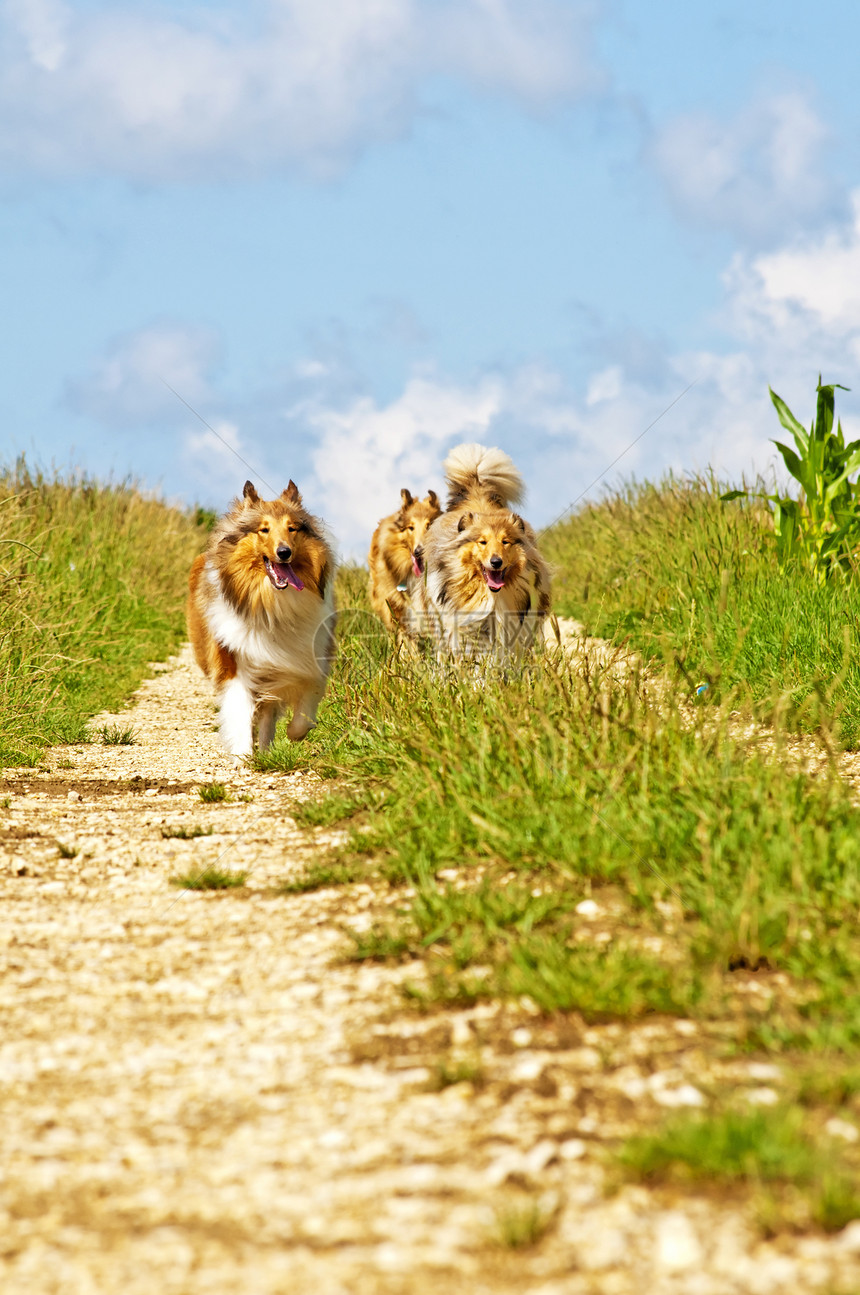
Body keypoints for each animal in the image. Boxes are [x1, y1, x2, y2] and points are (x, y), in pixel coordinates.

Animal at [187, 479, 336, 756]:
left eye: (292, 528)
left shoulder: (307, 659)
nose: (284, 552)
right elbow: (239, 714)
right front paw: (243, 757)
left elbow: (305, 709)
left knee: (267, 716)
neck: (271, 603)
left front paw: (294, 733)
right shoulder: (234, 665)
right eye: (263, 530)